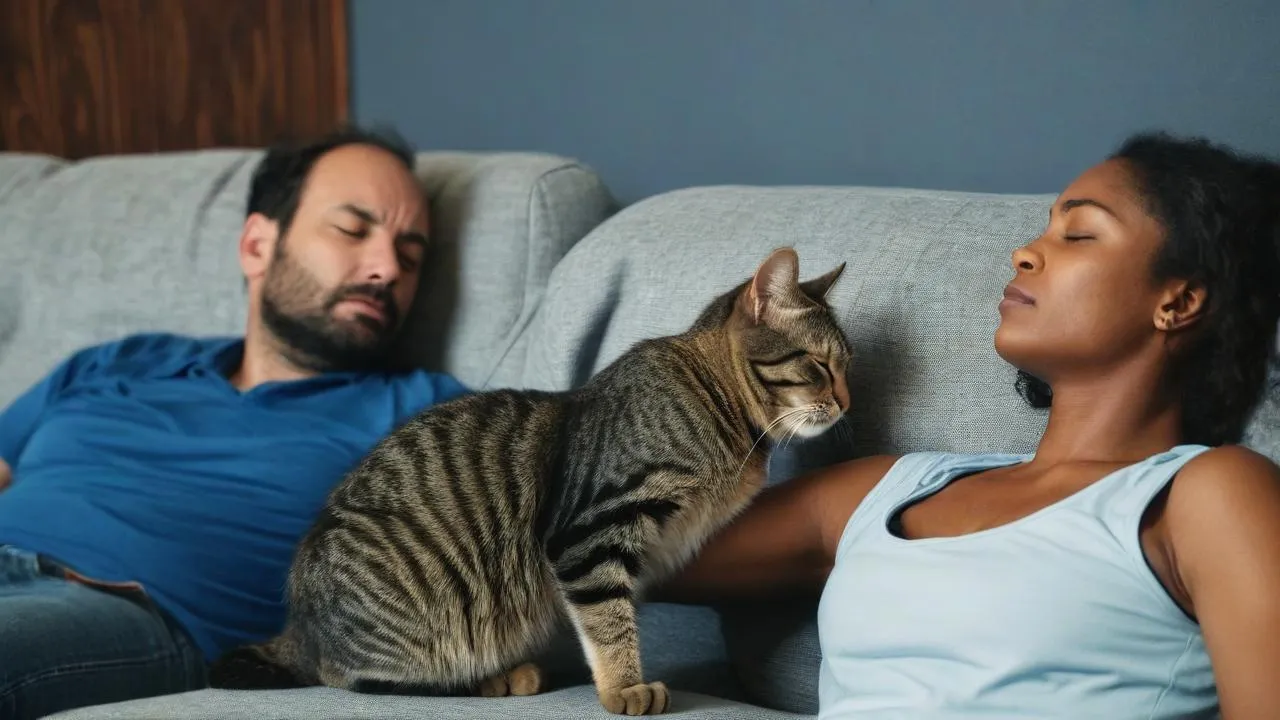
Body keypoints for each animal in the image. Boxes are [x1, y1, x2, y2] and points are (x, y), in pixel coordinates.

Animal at [208, 246, 853, 716]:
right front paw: (623, 688)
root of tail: (300, 625)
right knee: (359, 678)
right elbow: (608, 622)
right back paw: (493, 679)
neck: (715, 401)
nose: (847, 403)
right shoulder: (591, 531)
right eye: (820, 366)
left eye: (848, 366)